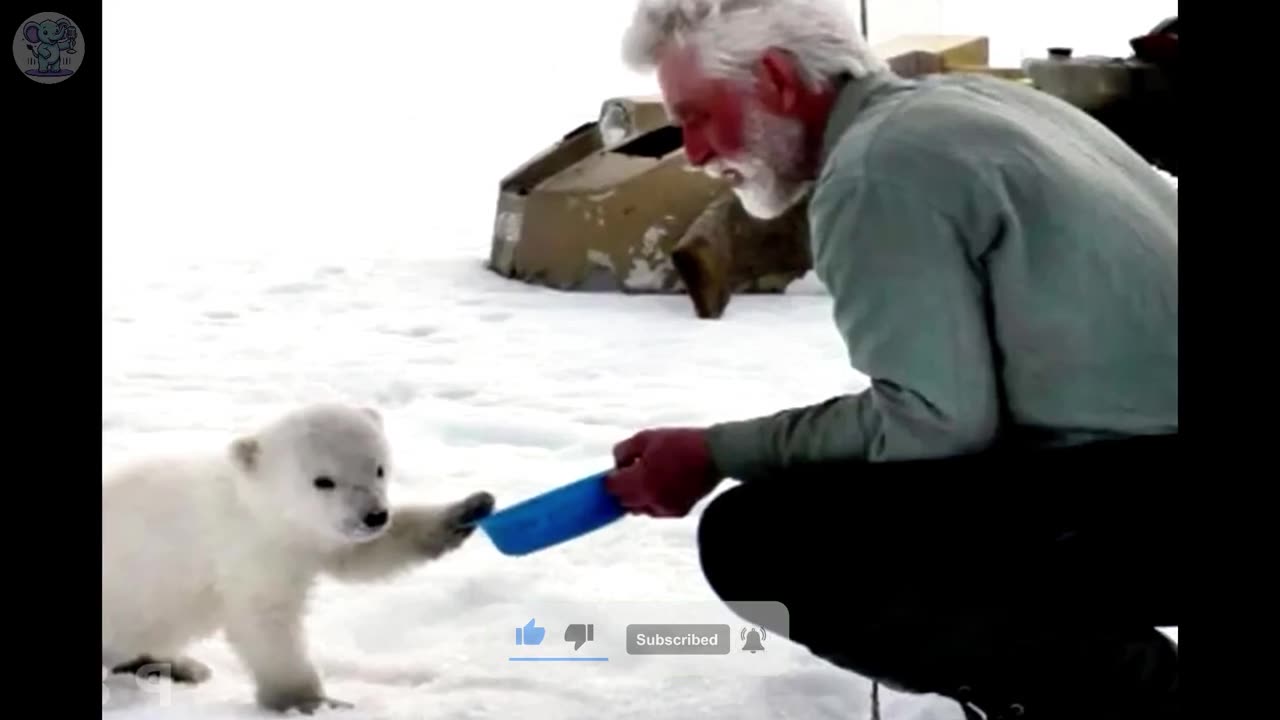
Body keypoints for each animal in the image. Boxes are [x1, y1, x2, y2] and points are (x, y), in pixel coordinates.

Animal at [101, 402, 496, 714]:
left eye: (379, 468)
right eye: (323, 480)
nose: (374, 516)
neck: (254, 505)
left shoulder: (314, 539)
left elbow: (362, 556)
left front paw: (469, 508)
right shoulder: (247, 550)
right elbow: (267, 623)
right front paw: (311, 701)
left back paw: (178, 665)